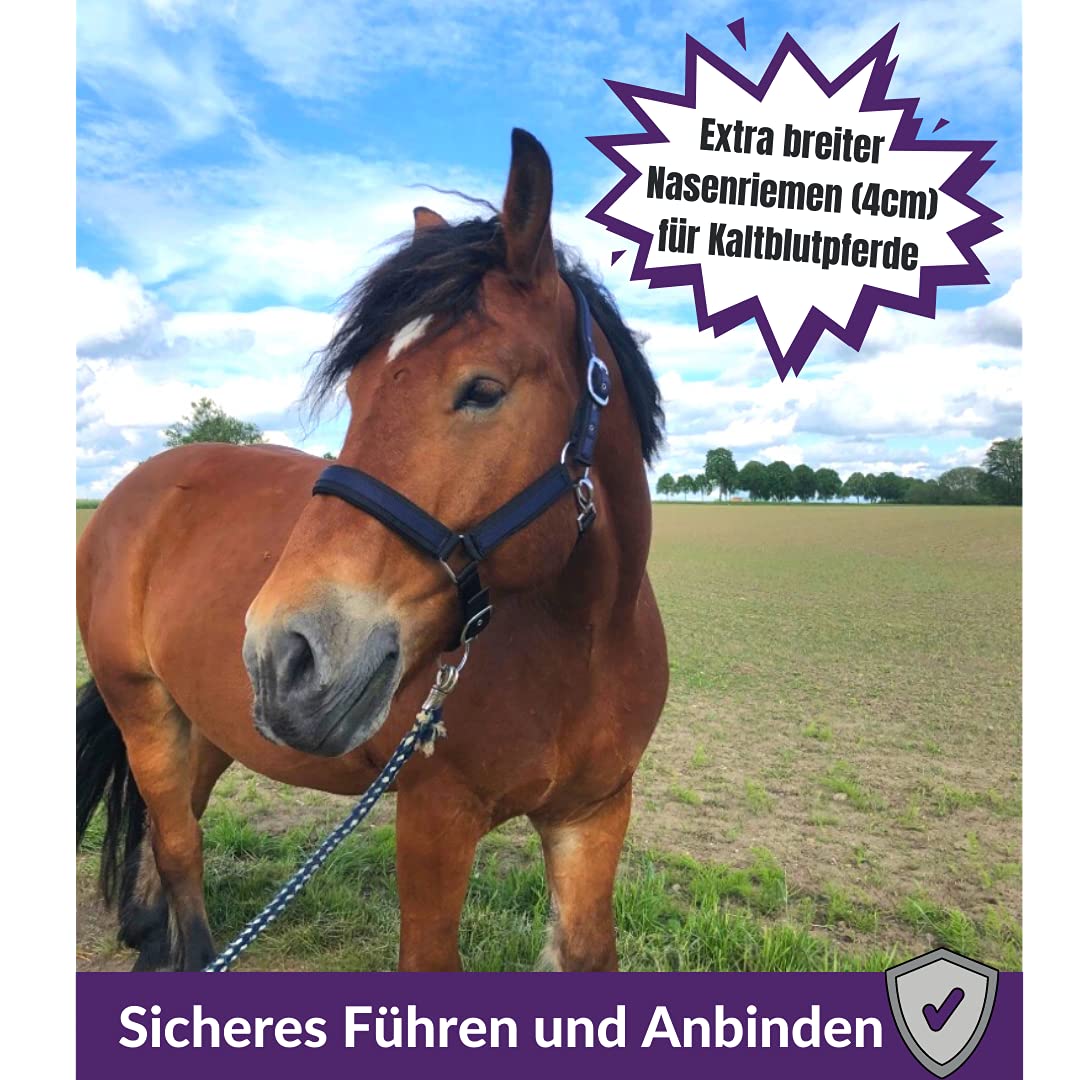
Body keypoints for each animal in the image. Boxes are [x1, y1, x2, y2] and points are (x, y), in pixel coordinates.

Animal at [76, 129, 669, 972]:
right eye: (356, 393)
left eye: (482, 390)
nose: (287, 655)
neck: (584, 645)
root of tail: (133, 491)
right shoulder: (434, 819)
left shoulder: (595, 814)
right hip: (143, 707)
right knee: (179, 840)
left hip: (209, 720)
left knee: (176, 818)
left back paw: (149, 932)